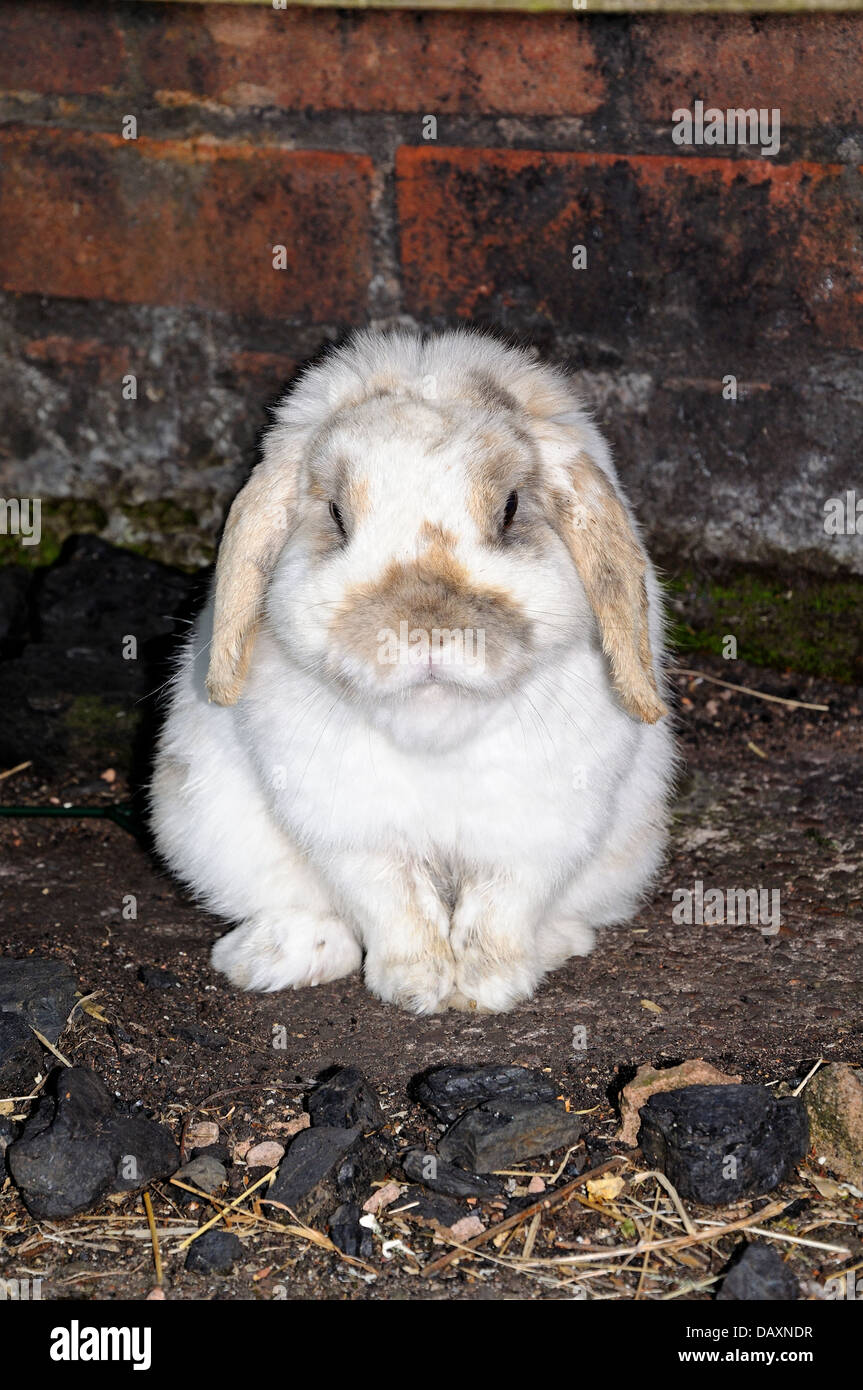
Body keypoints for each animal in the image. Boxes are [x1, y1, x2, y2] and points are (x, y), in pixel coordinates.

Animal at [150, 327, 675, 1015]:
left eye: (510, 508)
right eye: (337, 516)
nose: (424, 634)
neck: (434, 728)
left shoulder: (537, 824)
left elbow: (499, 905)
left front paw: (485, 988)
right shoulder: (353, 828)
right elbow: (393, 901)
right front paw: (415, 985)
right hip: (205, 821)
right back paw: (273, 958)